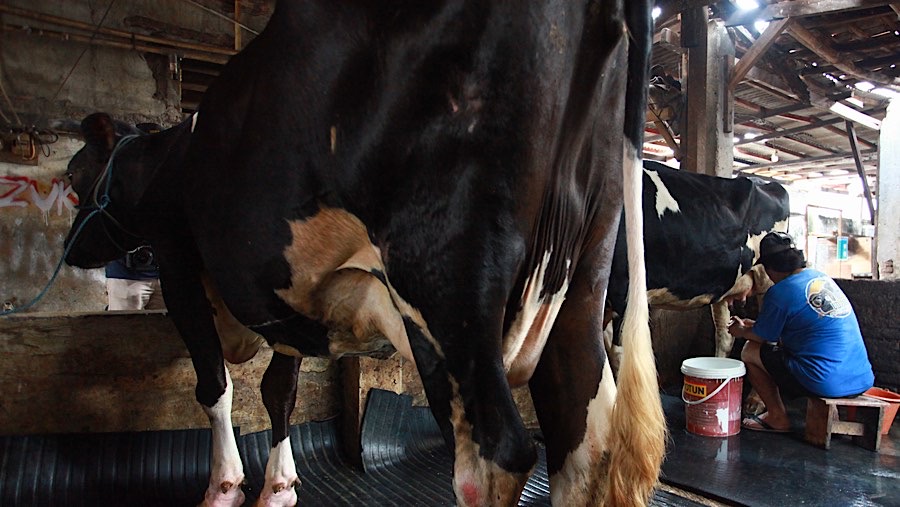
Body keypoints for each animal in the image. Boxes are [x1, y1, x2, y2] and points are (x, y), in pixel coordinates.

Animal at [63, 1, 664, 506]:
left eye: (73, 176)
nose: (70, 250)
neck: (168, 160)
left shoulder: (177, 263)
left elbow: (215, 386)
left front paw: (224, 487)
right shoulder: (287, 299)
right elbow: (278, 391)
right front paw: (278, 485)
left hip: (447, 286)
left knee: (497, 454)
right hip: (583, 281)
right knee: (585, 448)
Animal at [604, 161, 788, 372]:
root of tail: (763, 181)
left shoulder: (623, 290)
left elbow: (618, 354)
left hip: (767, 279)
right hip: (724, 287)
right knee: (725, 335)